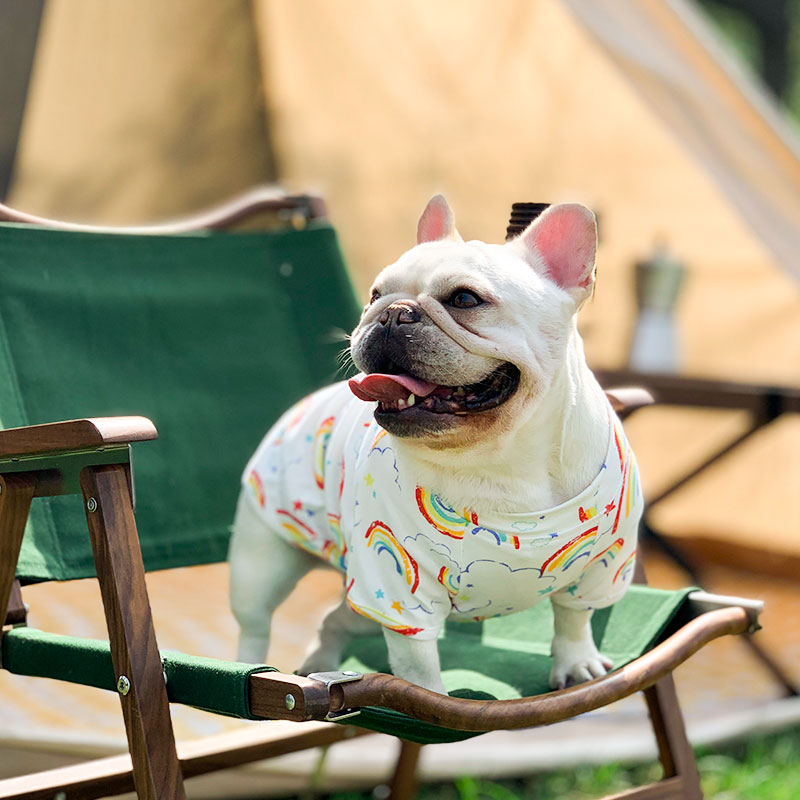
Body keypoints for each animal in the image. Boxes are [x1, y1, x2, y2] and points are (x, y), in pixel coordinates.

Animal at [228, 195, 640, 692]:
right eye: (374, 295)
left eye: (464, 299)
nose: (392, 312)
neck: (500, 459)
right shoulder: (400, 593)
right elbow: (418, 669)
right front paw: (430, 698)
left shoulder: (600, 568)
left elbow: (574, 617)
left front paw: (576, 661)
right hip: (266, 566)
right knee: (255, 625)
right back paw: (249, 669)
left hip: (358, 598)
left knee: (335, 620)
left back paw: (320, 662)